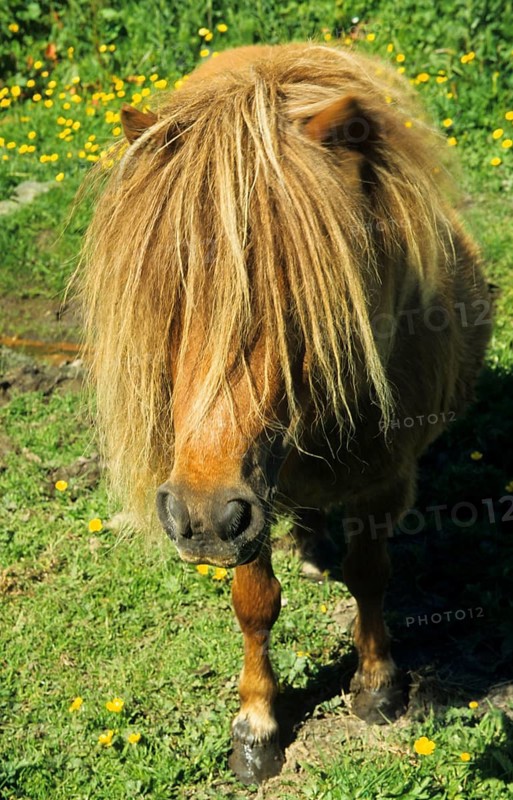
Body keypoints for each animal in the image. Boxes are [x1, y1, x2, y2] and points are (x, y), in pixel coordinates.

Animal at [80, 42, 492, 784]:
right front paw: (257, 726)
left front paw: (376, 686)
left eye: (302, 300)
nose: (199, 518)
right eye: (169, 292)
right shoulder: (242, 499)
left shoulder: (379, 481)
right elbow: (254, 604)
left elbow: (370, 574)